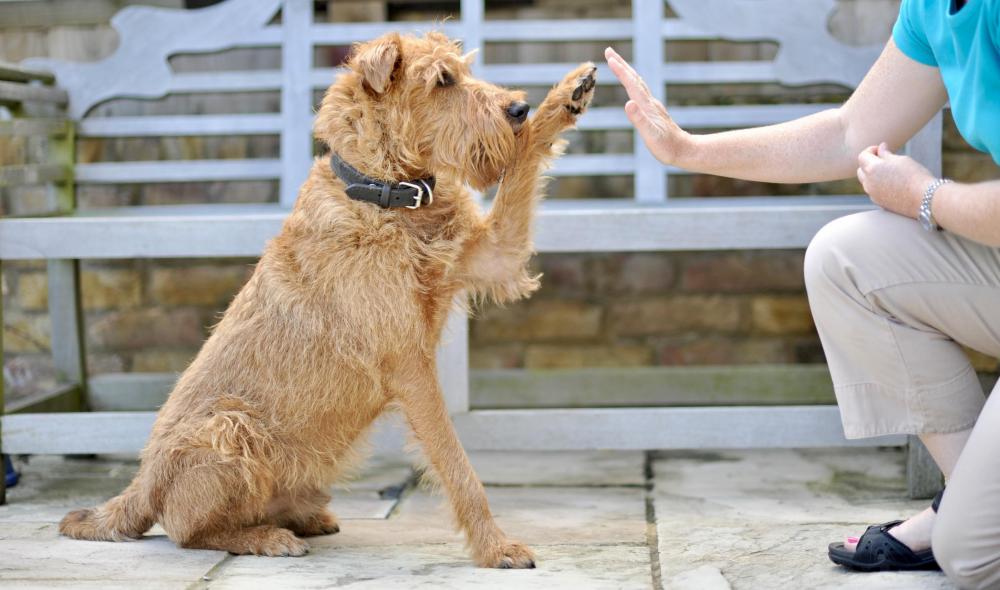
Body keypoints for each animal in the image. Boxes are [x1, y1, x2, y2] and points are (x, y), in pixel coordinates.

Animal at [58, 31, 592, 568]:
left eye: (462, 70)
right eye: (442, 80)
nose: (517, 108)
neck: (383, 193)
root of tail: (140, 485)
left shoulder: (495, 255)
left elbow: (524, 166)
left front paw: (565, 97)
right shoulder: (410, 365)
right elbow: (455, 462)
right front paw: (494, 547)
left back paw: (302, 519)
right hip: (229, 429)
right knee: (189, 532)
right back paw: (266, 539)